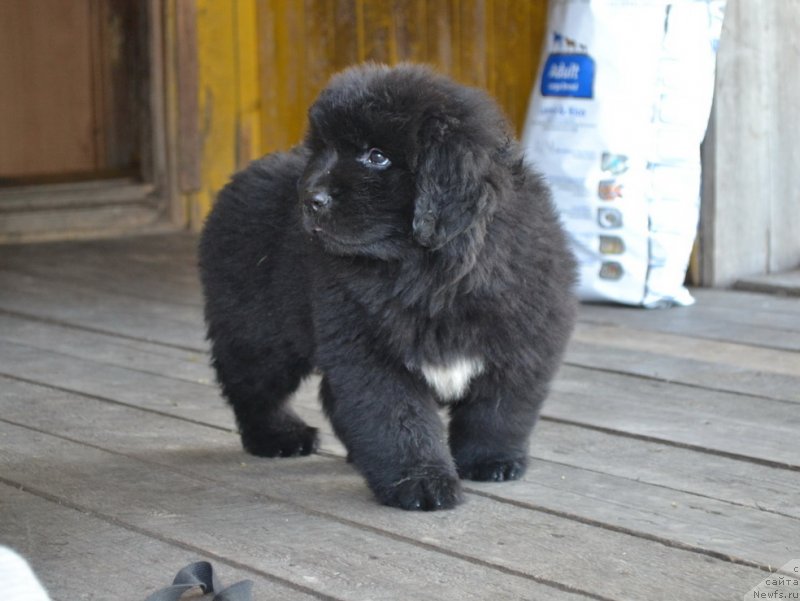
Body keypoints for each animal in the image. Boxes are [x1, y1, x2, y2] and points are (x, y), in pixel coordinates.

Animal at [199, 63, 576, 508]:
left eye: (376, 156)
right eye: (322, 151)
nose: (310, 199)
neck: (427, 273)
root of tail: (238, 178)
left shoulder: (520, 343)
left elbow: (498, 411)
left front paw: (490, 461)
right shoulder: (370, 352)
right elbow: (400, 421)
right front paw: (422, 483)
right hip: (259, 333)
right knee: (252, 388)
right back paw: (278, 437)